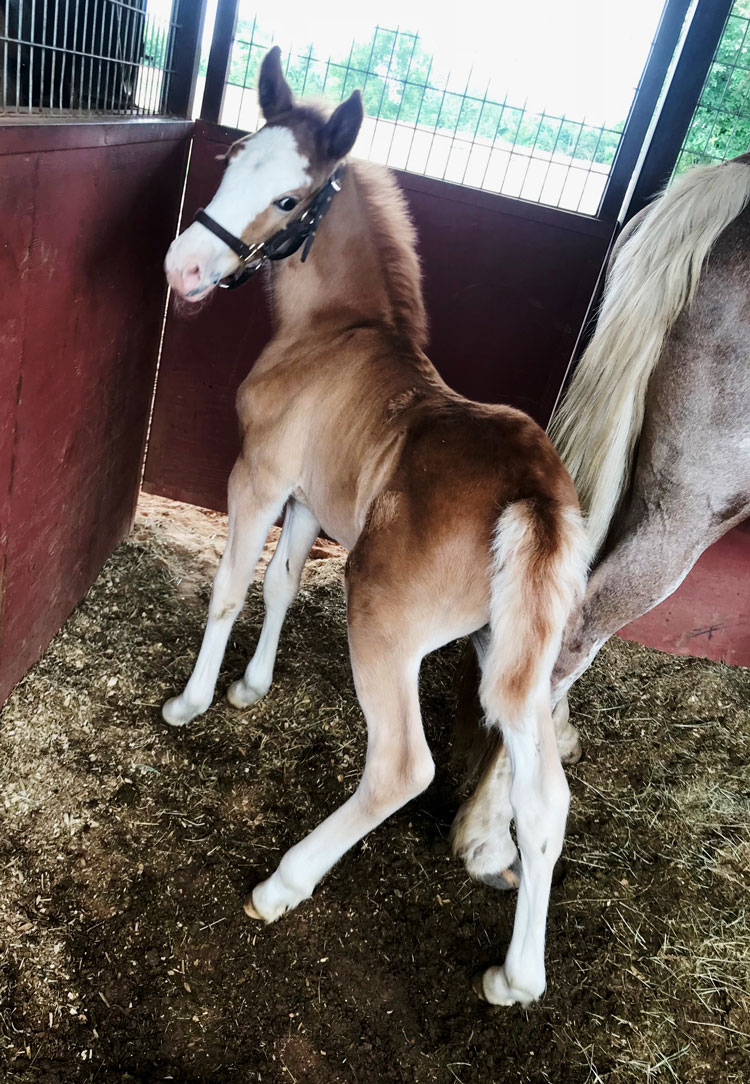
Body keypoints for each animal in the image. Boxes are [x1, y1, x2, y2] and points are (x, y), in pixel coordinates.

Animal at [161, 48, 589, 1005]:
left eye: (290, 199)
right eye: (233, 158)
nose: (182, 270)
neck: (334, 331)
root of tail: (534, 492)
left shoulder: (259, 476)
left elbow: (231, 585)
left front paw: (194, 701)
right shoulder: (311, 499)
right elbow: (282, 581)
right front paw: (252, 687)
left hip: (385, 624)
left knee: (402, 766)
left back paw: (283, 883)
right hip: (514, 657)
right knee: (546, 800)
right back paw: (516, 977)